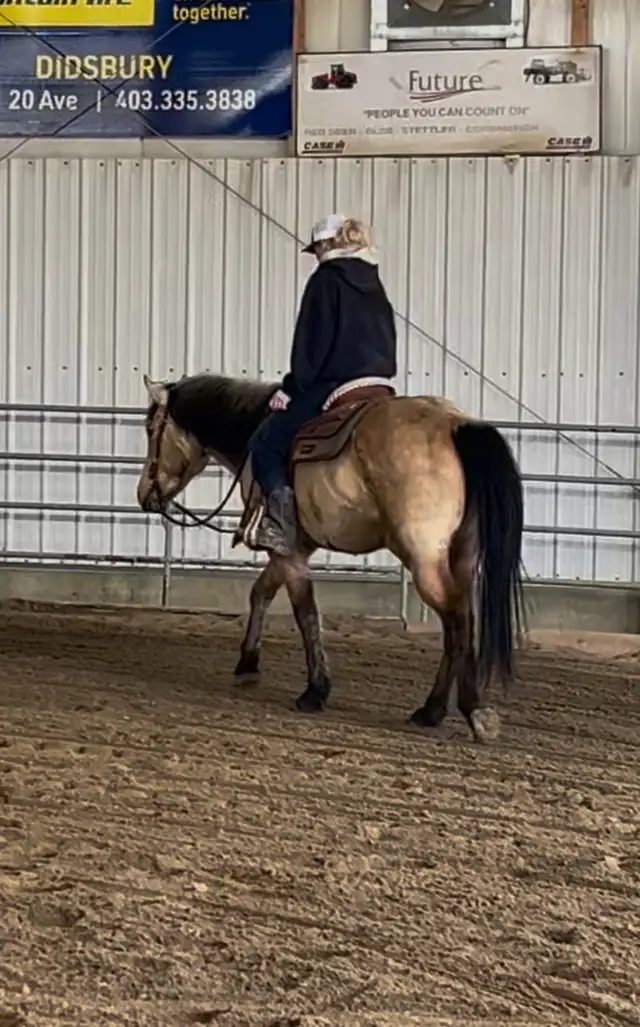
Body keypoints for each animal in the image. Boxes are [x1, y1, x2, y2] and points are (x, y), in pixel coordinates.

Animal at [136, 371, 525, 742]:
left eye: (151, 429)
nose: (144, 495)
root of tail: (457, 425)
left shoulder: (289, 550)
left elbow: (305, 612)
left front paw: (315, 690)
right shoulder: (294, 547)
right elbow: (261, 592)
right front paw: (248, 663)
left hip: (425, 560)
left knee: (457, 620)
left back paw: (459, 710)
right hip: (462, 555)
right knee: (463, 617)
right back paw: (437, 710)